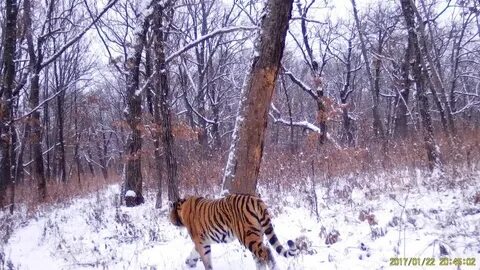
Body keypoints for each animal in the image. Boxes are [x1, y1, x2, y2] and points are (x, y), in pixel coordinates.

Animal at [168, 194, 296, 270]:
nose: (170, 220)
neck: (182, 206)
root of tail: (255, 200)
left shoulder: (200, 242)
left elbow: (206, 261)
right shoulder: (203, 241)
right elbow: (193, 252)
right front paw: (189, 262)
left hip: (248, 237)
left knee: (266, 252)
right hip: (257, 235)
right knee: (260, 258)